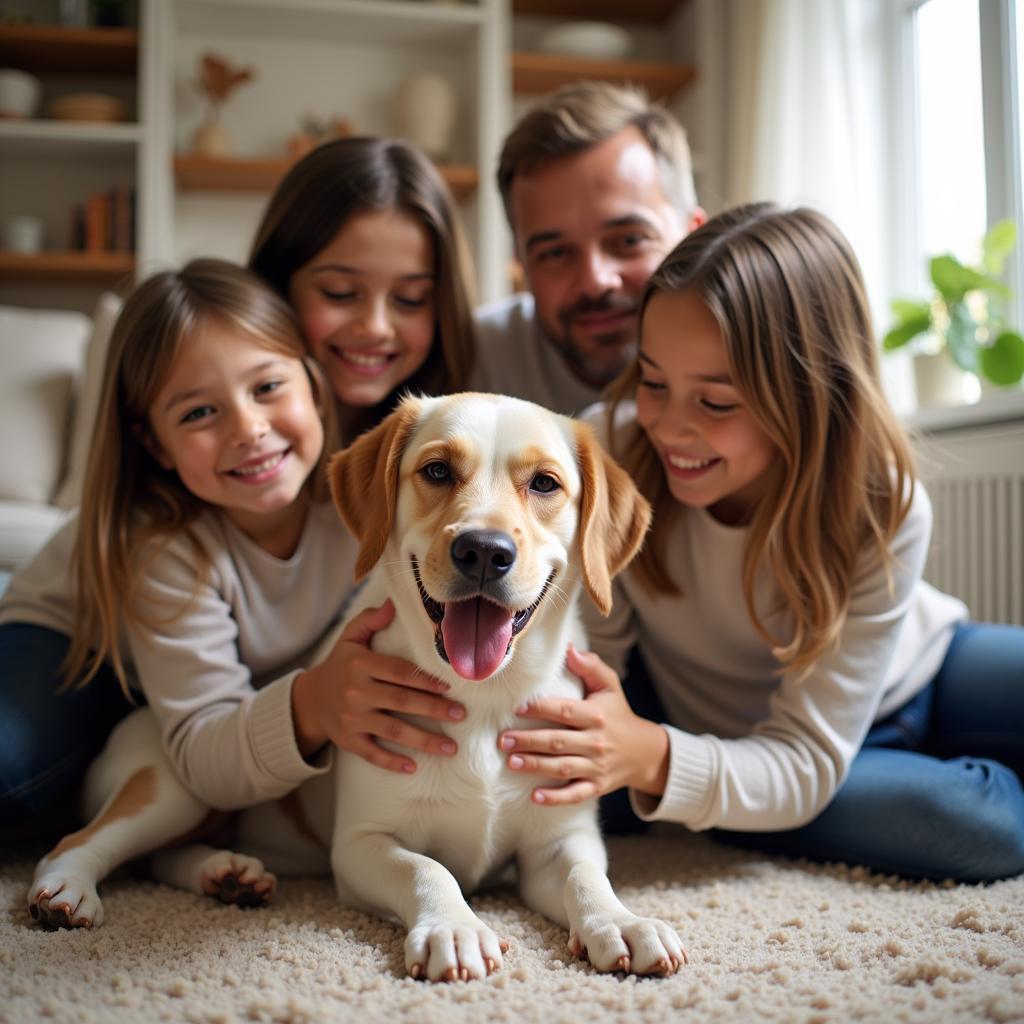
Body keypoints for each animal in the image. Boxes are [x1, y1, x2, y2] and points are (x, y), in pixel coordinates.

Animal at [29, 393, 688, 983]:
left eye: (546, 484)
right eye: (438, 470)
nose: (483, 550)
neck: (483, 699)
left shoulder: (558, 842)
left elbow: (587, 878)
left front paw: (622, 921)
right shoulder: (361, 844)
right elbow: (428, 870)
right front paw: (454, 927)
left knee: (162, 857)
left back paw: (227, 873)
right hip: (171, 787)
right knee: (83, 839)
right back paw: (66, 890)